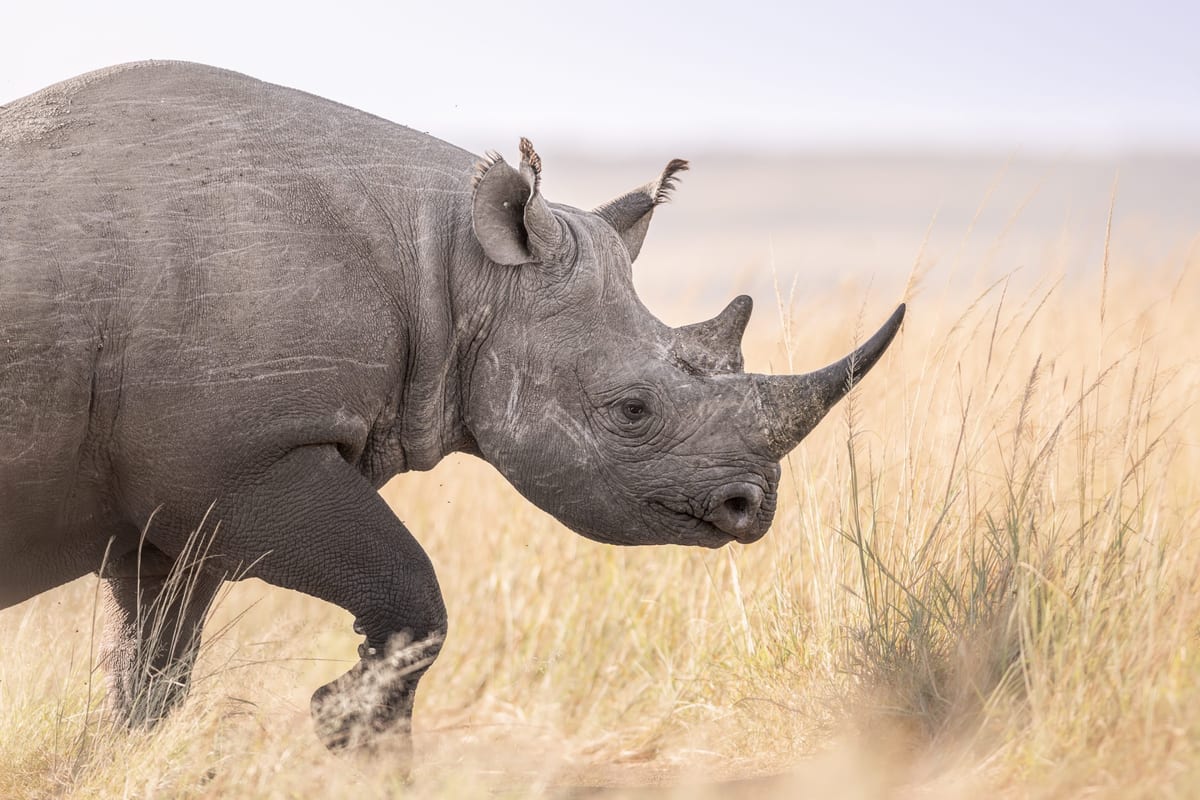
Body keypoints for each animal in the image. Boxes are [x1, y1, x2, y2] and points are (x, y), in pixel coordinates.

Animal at [0, 62, 903, 755]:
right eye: (632, 411)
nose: (753, 508)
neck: (454, 266)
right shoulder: (238, 465)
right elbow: (414, 599)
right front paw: (349, 727)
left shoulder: (174, 509)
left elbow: (151, 672)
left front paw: (130, 761)